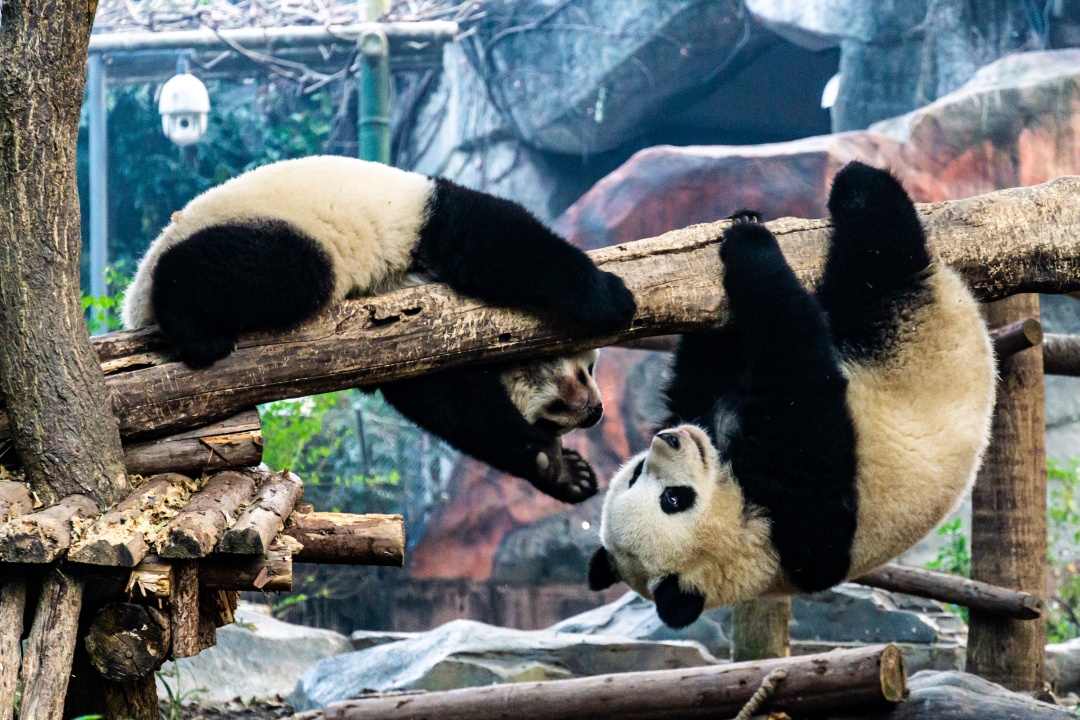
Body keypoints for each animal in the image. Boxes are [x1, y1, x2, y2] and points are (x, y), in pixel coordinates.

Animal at [122, 155, 636, 503]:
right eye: (582, 376)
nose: (595, 412)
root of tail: (135, 305)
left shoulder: (418, 339)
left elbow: (451, 403)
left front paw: (561, 470)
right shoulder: (433, 222)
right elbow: (501, 243)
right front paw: (612, 297)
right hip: (280, 230)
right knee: (269, 269)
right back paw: (192, 326)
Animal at [587, 161, 996, 627]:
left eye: (639, 474)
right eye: (672, 499)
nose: (668, 438)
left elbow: (706, 378)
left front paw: (744, 219)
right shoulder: (801, 518)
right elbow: (800, 375)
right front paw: (751, 243)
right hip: (905, 322)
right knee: (881, 261)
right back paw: (862, 186)